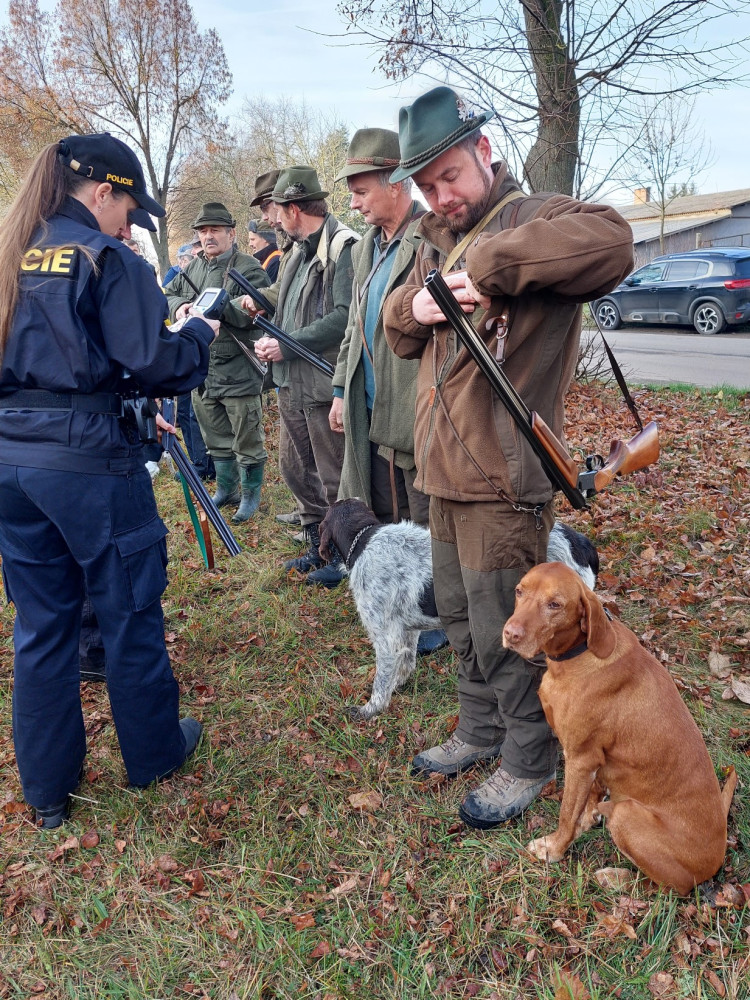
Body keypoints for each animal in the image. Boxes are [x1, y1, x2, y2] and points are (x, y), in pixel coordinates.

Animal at [319, 498, 599, 721]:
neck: (363, 540)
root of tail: (580, 541)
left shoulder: (385, 637)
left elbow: (381, 682)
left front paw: (370, 710)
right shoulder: (406, 631)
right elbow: (405, 665)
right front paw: (398, 686)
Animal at [502, 561, 737, 895]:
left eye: (555, 605)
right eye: (519, 591)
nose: (510, 634)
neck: (579, 655)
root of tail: (718, 856)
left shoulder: (580, 758)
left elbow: (566, 813)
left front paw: (555, 849)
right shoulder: (593, 762)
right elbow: (587, 799)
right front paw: (587, 818)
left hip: (628, 816)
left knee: (663, 890)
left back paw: (615, 877)